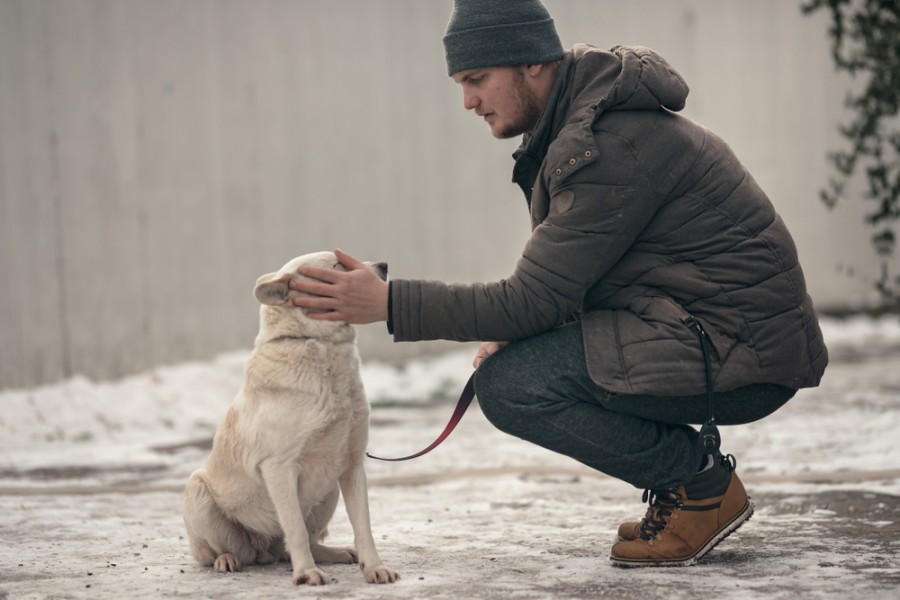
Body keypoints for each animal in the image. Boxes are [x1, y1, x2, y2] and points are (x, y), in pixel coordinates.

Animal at [179, 250, 398, 584]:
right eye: (337, 265)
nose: (385, 265)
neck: (318, 344)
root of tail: (264, 550)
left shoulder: (352, 464)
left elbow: (363, 527)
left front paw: (374, 567)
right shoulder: (279, 468)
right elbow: (294, 529)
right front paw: (306, 573)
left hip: (330, 489)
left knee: (300, 543)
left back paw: (334, 553)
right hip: (197, 492)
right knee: (221, 552)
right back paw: (226, 560)